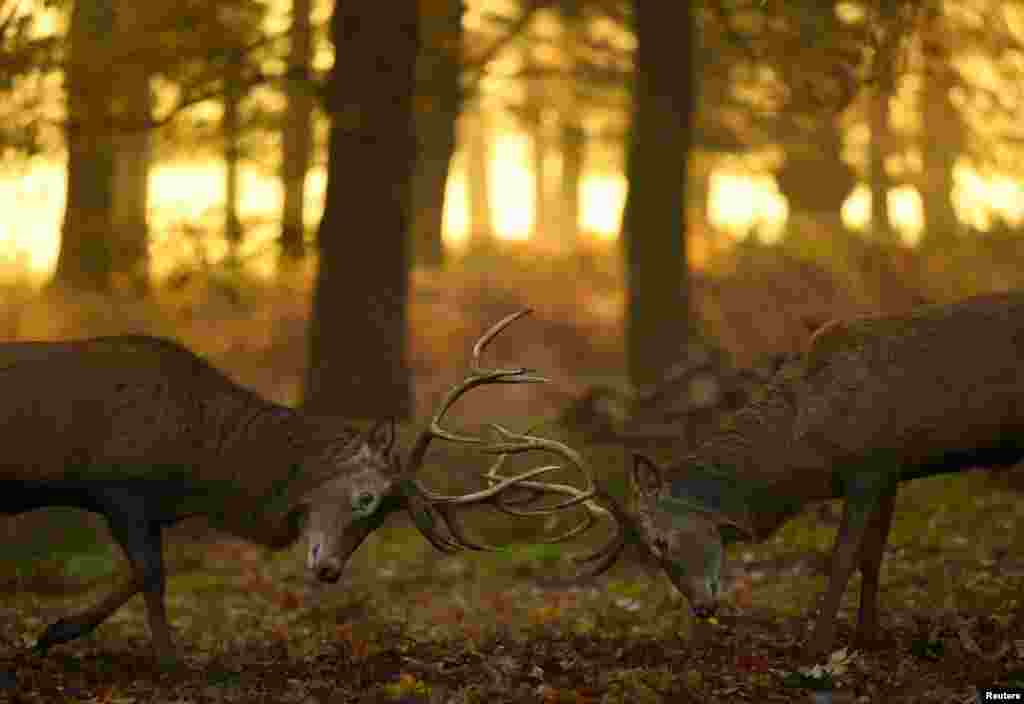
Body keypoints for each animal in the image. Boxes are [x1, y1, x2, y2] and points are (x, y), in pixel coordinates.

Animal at [0, 310, 613, 664]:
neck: (199, 464)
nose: (329, 570)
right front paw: (171, 661)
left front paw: (55, 630)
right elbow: (152, 573)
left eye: (381, 520)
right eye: (366, 499)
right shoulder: (119, 486)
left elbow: (141, 571)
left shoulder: (144, 507)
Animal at [539, 292, 1024, 660]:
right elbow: (873, 555)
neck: (808, 450)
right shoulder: (891, 470)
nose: (702, 608)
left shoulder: (869, 466)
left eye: (660, 542)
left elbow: (842, 557)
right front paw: (868, 638)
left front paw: (817, 647)